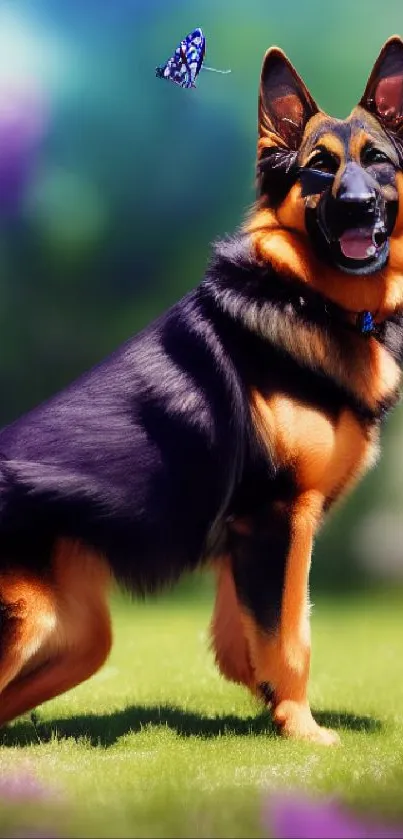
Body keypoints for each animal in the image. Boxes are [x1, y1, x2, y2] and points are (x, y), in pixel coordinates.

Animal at [0, 34, 403, 748]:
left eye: (377, 161)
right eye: (319, 169)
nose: (359, 208)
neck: (306, 296)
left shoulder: (247, 538)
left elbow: (254, 636)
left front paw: (270, 706)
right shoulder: (278, 517)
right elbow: (289, 635)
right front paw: (304, 732)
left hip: (81, 637)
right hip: (34, 620)